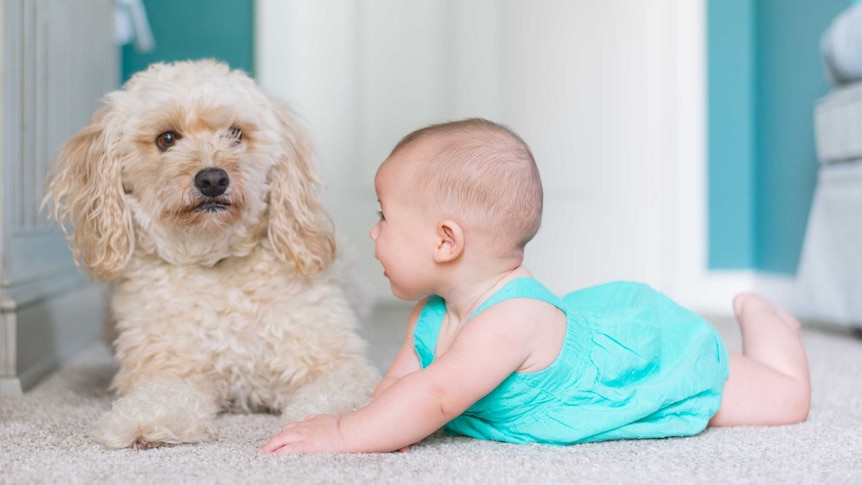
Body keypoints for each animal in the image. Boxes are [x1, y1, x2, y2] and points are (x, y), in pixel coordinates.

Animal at [44, 58, 382, 448]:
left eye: (235, 133)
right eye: (167, 139)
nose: (212, 179)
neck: (215, 259)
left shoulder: (335, 363)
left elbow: (337, 395)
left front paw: (327, 425)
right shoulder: (168, 367)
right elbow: (161, 396)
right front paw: (145, 421)